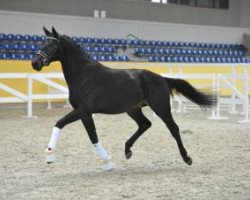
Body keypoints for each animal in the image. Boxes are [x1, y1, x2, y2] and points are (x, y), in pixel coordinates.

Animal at [30, 27, 215, 169]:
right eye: (41, 43)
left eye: (52, 45)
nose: (35, 63)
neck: (84, 75)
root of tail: (162, 78)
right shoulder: (84, 113)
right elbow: (92, 136)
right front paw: (107, 162)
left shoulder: (84, 110)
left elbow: (60, 123)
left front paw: (49, 155)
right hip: (133, 109)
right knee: (145, 124)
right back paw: (127, 151)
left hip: (161, 107)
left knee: (174, 129)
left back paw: (187, 158)